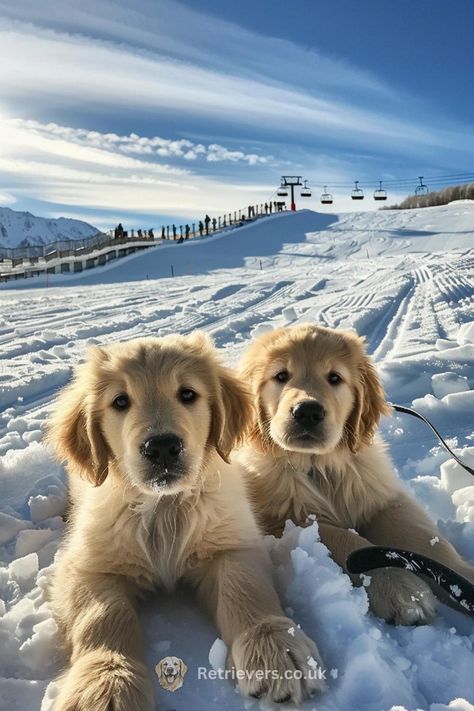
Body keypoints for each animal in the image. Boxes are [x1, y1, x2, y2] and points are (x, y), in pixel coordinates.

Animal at [46, 334, 324, 711]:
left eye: (188, 394)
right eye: (120, 401)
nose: (162, 446)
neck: (165, 508)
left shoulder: (232, 543)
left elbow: (245, 587)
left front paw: (274, 647)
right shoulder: (87, 566)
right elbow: (102, 617)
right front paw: (105, 684)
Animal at [237, 326, 474, 624]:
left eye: (334, 378)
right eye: (281, 376)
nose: (307, 412)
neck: (317, 467)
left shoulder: (381, 498)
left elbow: (429, 542)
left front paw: (463, 579)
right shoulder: (281, 520)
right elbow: (348, 541)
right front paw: (398, 586)